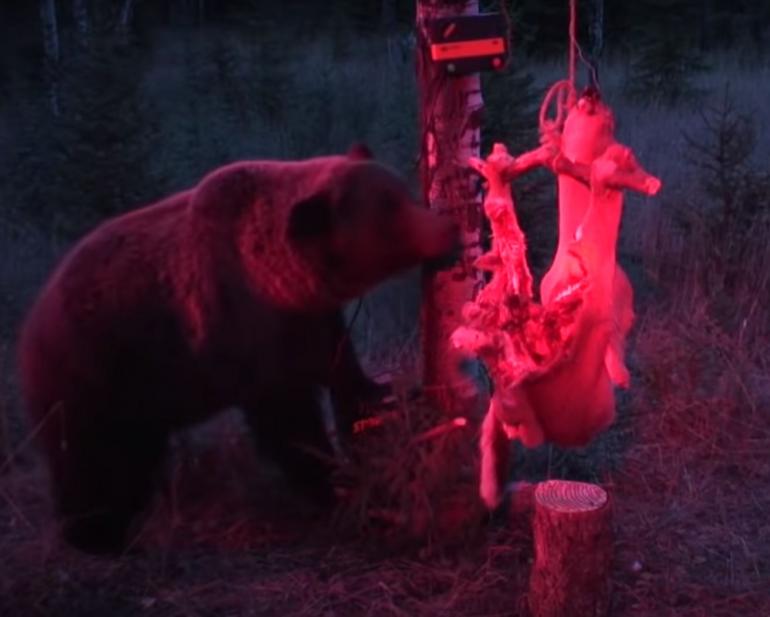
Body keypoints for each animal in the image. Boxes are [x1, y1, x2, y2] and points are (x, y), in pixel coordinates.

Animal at [17, 146, 458, 554]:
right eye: (389, 211)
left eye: (403, 192)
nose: (448, 229)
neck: (280, 283)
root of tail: (31, 322)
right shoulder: (245, 334)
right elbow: (288, 424)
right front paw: (333, 486)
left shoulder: (311, 321)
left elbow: (344, 376)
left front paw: (387, 401)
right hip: (93, 373)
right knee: (88, 458)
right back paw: (97, 535)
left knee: (135, 453)